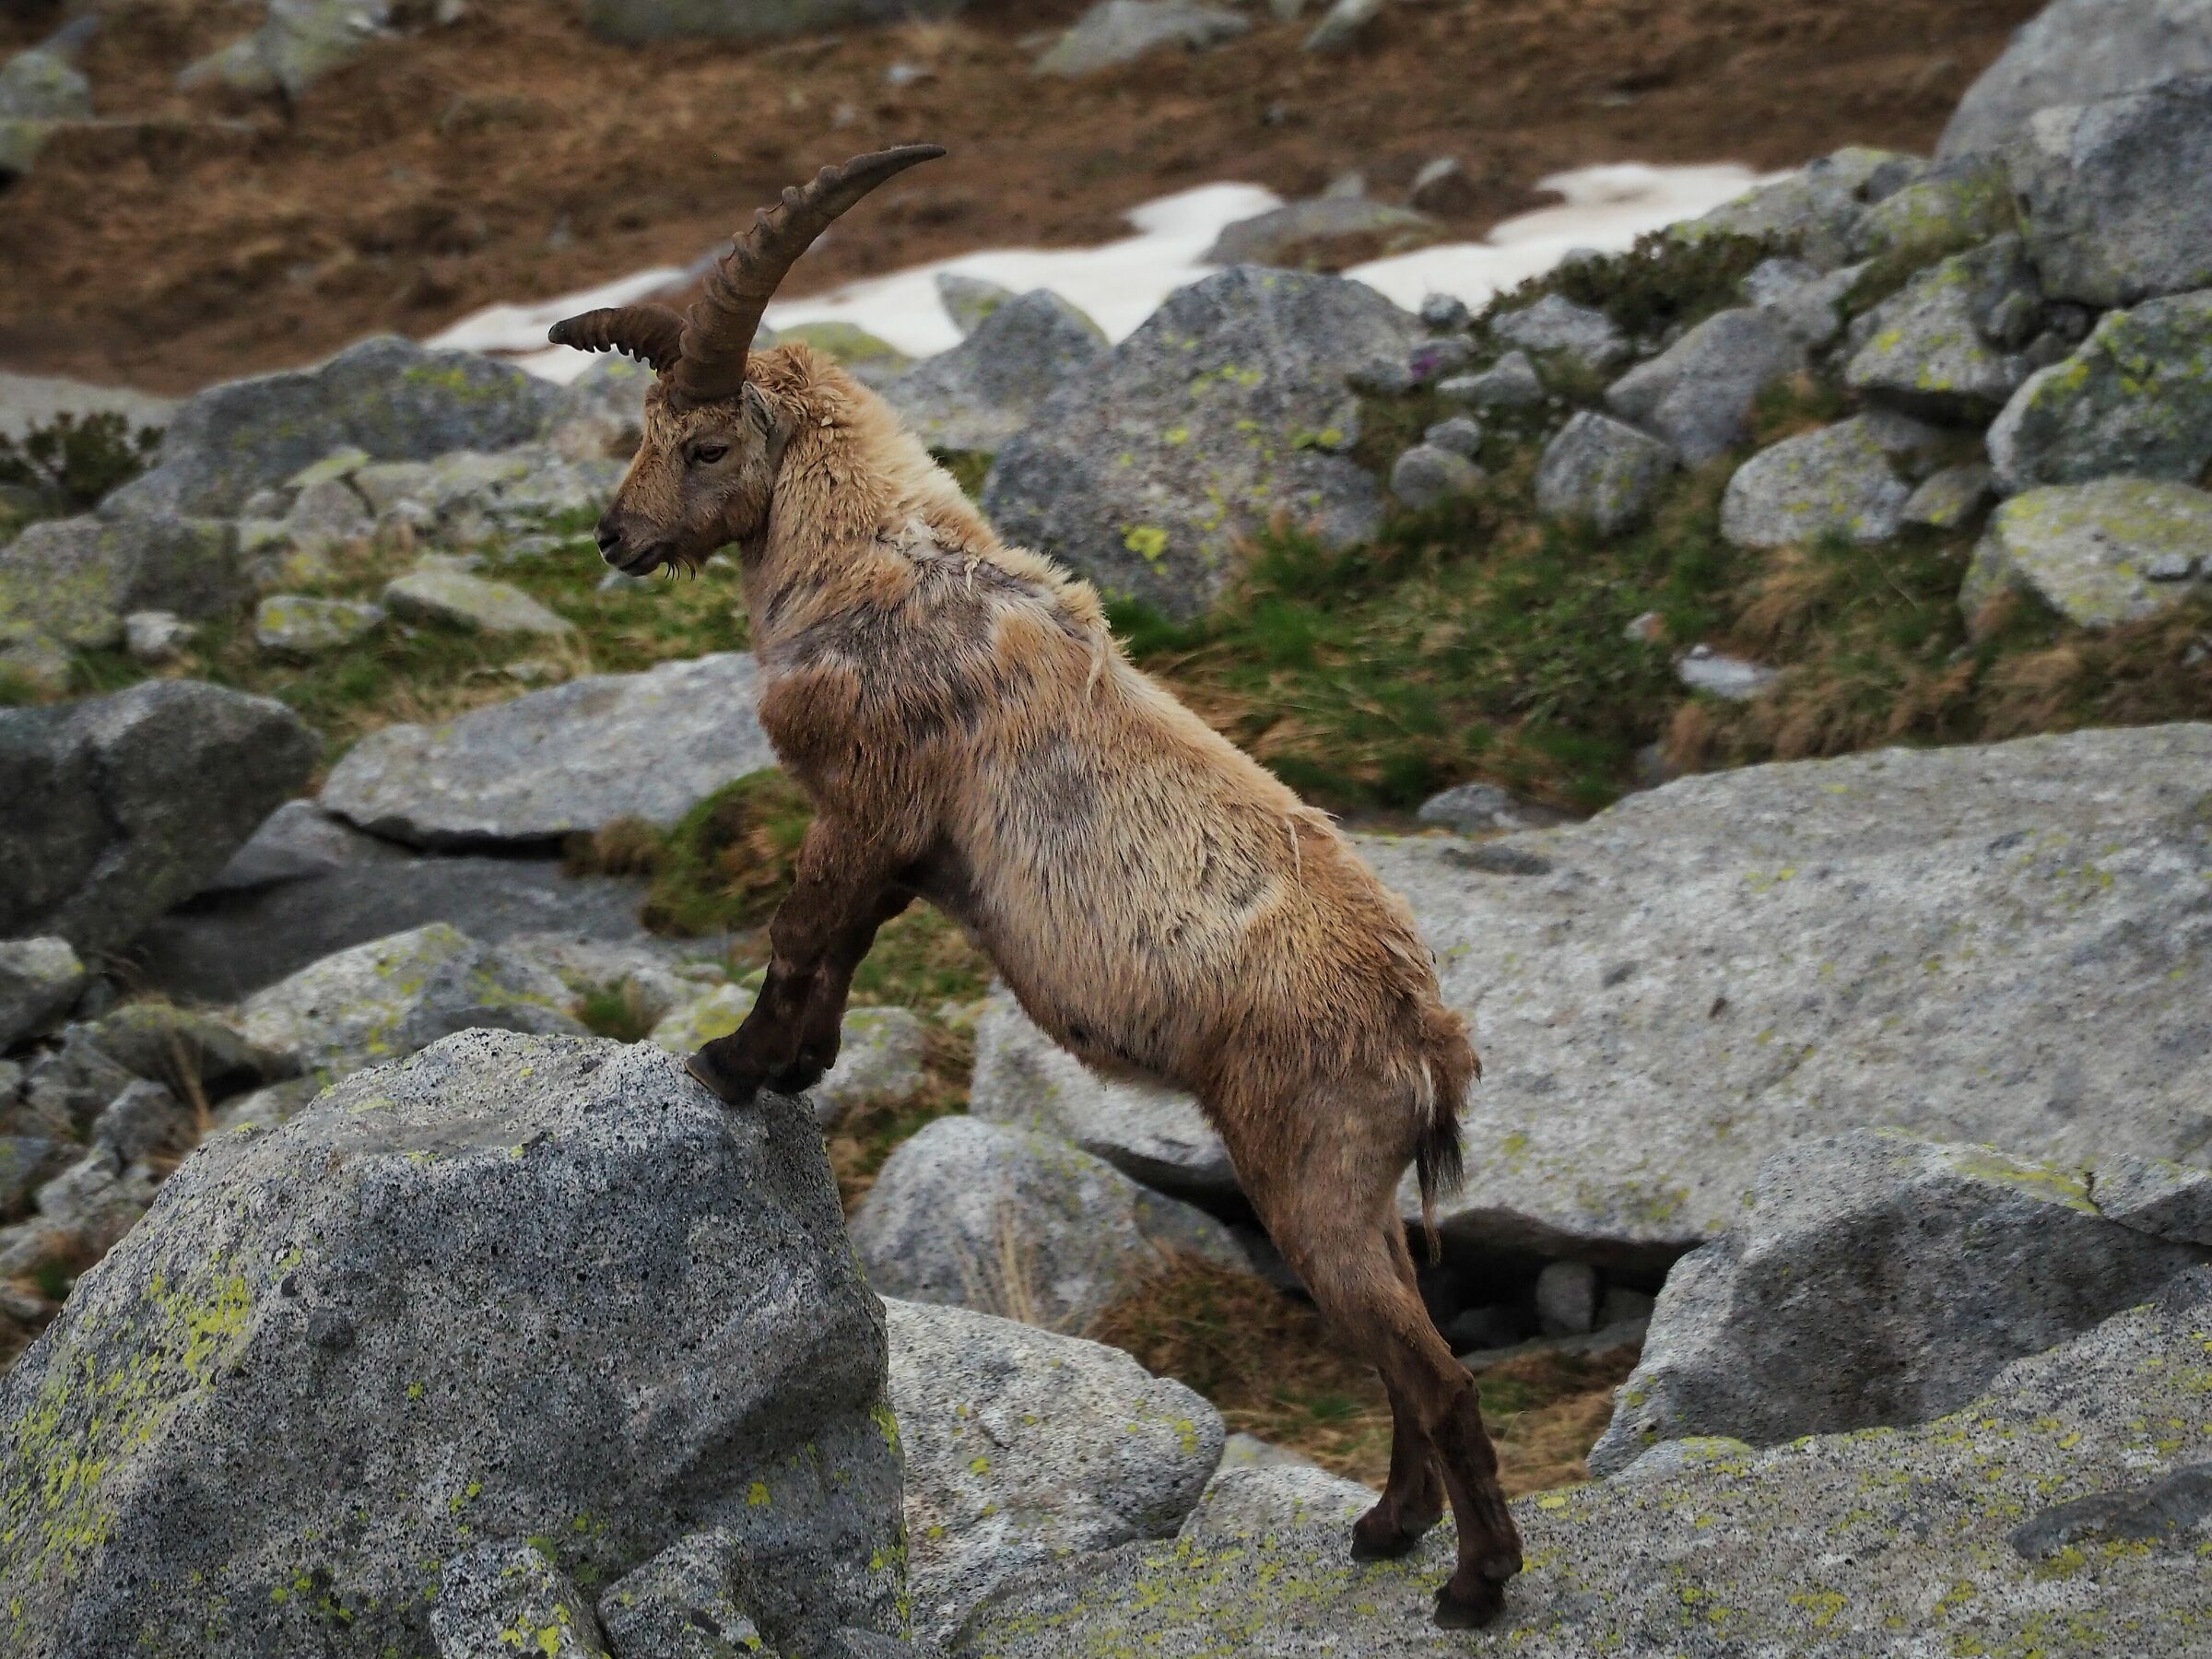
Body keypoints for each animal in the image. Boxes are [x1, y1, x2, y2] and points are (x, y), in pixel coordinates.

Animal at [548, 147, 1524, 1628]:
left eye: (706, 445)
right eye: (645, 430)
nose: (617, 537)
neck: (870, 557)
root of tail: (1432, 1039)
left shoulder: (872, 794)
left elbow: (801, 930)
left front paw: (730, 1066)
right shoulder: (907, 847)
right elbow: (843, 946)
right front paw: (796, 1066)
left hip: (1306, 1168)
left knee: (1439, 1374)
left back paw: (1472, 1583)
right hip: (1348, 1196)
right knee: (1401, 1353)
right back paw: (1384, 1529)